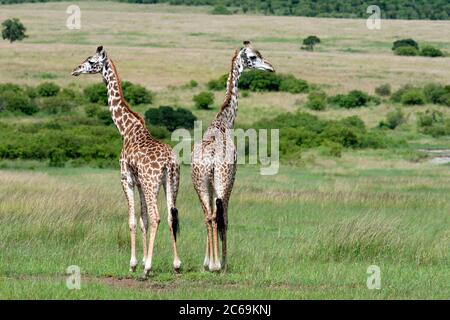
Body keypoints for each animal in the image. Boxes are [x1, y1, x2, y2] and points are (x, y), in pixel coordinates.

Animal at [71, 45, 180, 278]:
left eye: (91, 61)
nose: (75, 70)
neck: (126, 129)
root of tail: (169, 161)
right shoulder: (139, 183)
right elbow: (142, 220)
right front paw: (142, 260)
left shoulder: (126, 178)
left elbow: (132, 220)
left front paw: (134, 264)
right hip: (171, 183)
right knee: (170, 216)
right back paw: (177, 265)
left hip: (151, 182)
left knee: (157, 216)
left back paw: (147, 269)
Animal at [191, 41, 274, 272]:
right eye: (254, 57)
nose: (270, 68)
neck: (224, 122)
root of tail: (210, 160)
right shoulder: (232, 179)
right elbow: (225, 219)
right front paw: (223, 262)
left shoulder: (209, 185)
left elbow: (211, 216)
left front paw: (207, 261)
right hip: (223, 181)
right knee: (220, 217)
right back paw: (219, 264)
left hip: (200, 183)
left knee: (208, 216)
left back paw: (210, 263)